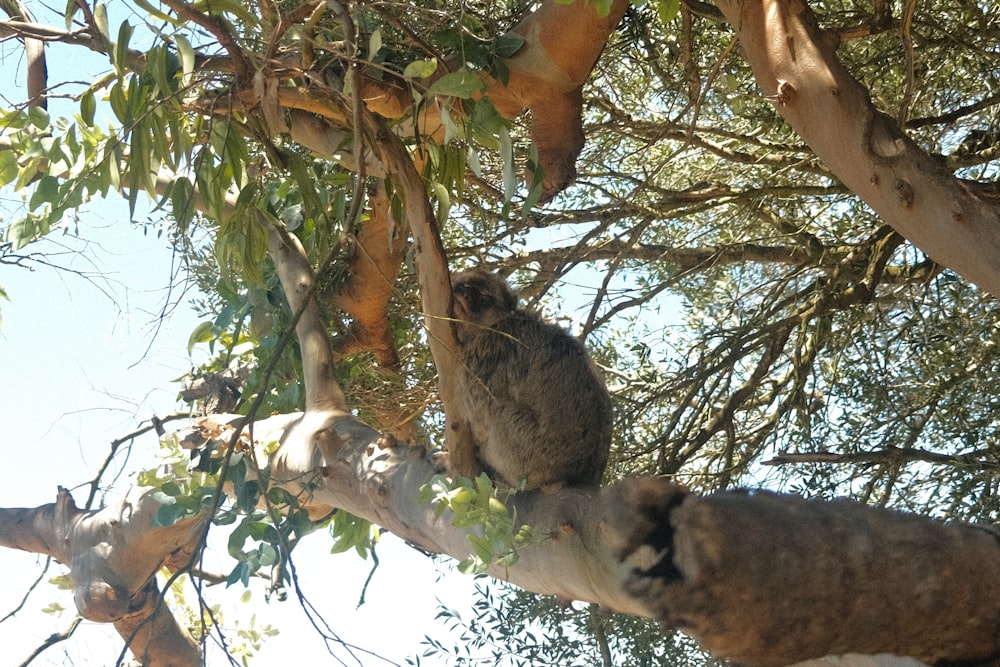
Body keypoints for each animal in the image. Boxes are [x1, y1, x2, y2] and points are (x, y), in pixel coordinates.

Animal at [452, 268, 608, 490]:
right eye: (463, 285)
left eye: (482, 295)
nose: (465, 292)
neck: (494, 324)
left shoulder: (486, 353)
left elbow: (479, 412)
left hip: (527, 452)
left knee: (498, 410)